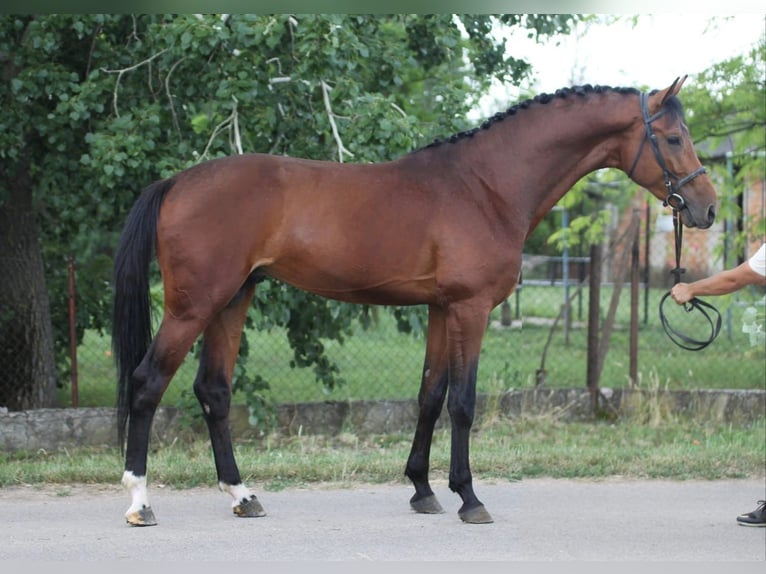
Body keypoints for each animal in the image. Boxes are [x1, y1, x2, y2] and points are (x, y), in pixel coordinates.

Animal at [112, 76, 717, 526]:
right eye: (672, 138)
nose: (708, 208)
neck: (486, 186)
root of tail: (177, 183)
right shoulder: (471, 309)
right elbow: (463, 403)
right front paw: (469, 497)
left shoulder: (441, 310)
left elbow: (429, 396)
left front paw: (423, 490)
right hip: (193, 306)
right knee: (146, 383)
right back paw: (140, 501)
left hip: (232, 300)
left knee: (213, 391)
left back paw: (242, 495)